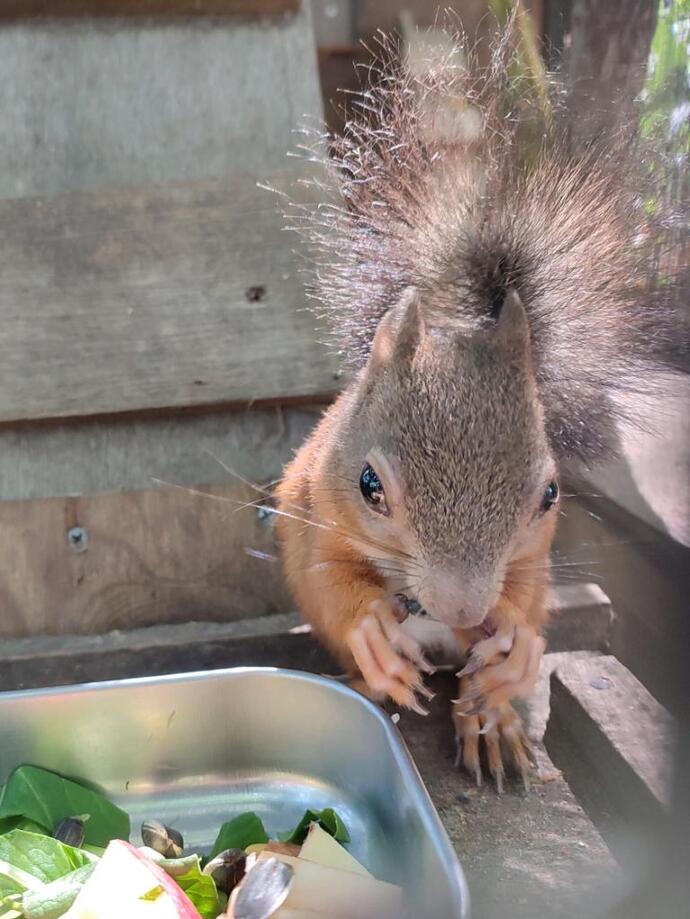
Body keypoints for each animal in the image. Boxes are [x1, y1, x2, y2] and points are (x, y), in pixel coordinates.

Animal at [272, 18, 684, 792]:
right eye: (369, 485)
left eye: (549, 494)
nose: (463, 606)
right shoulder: (312, 510)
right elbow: (330, 585)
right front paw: (373, 636)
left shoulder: (532, 558)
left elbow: (522, 600)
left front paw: (516, 650)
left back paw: (493, 721)